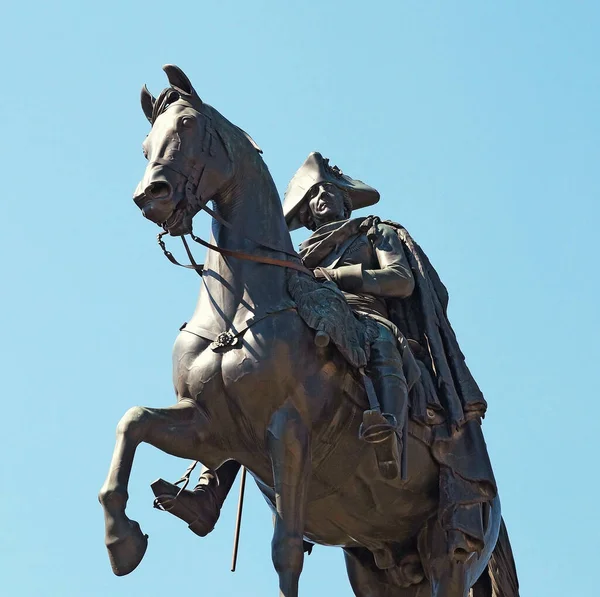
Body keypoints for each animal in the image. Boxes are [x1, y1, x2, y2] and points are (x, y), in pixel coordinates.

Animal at [98, 65, 516, 596]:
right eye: (145, 143)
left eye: (189, 123)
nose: (151, 196)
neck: (239, 311)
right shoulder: (210, 428)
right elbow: (132, 422)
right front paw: (122, 541)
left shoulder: (290, 431)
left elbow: (287, 552)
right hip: (375, 566)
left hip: (450, 548)